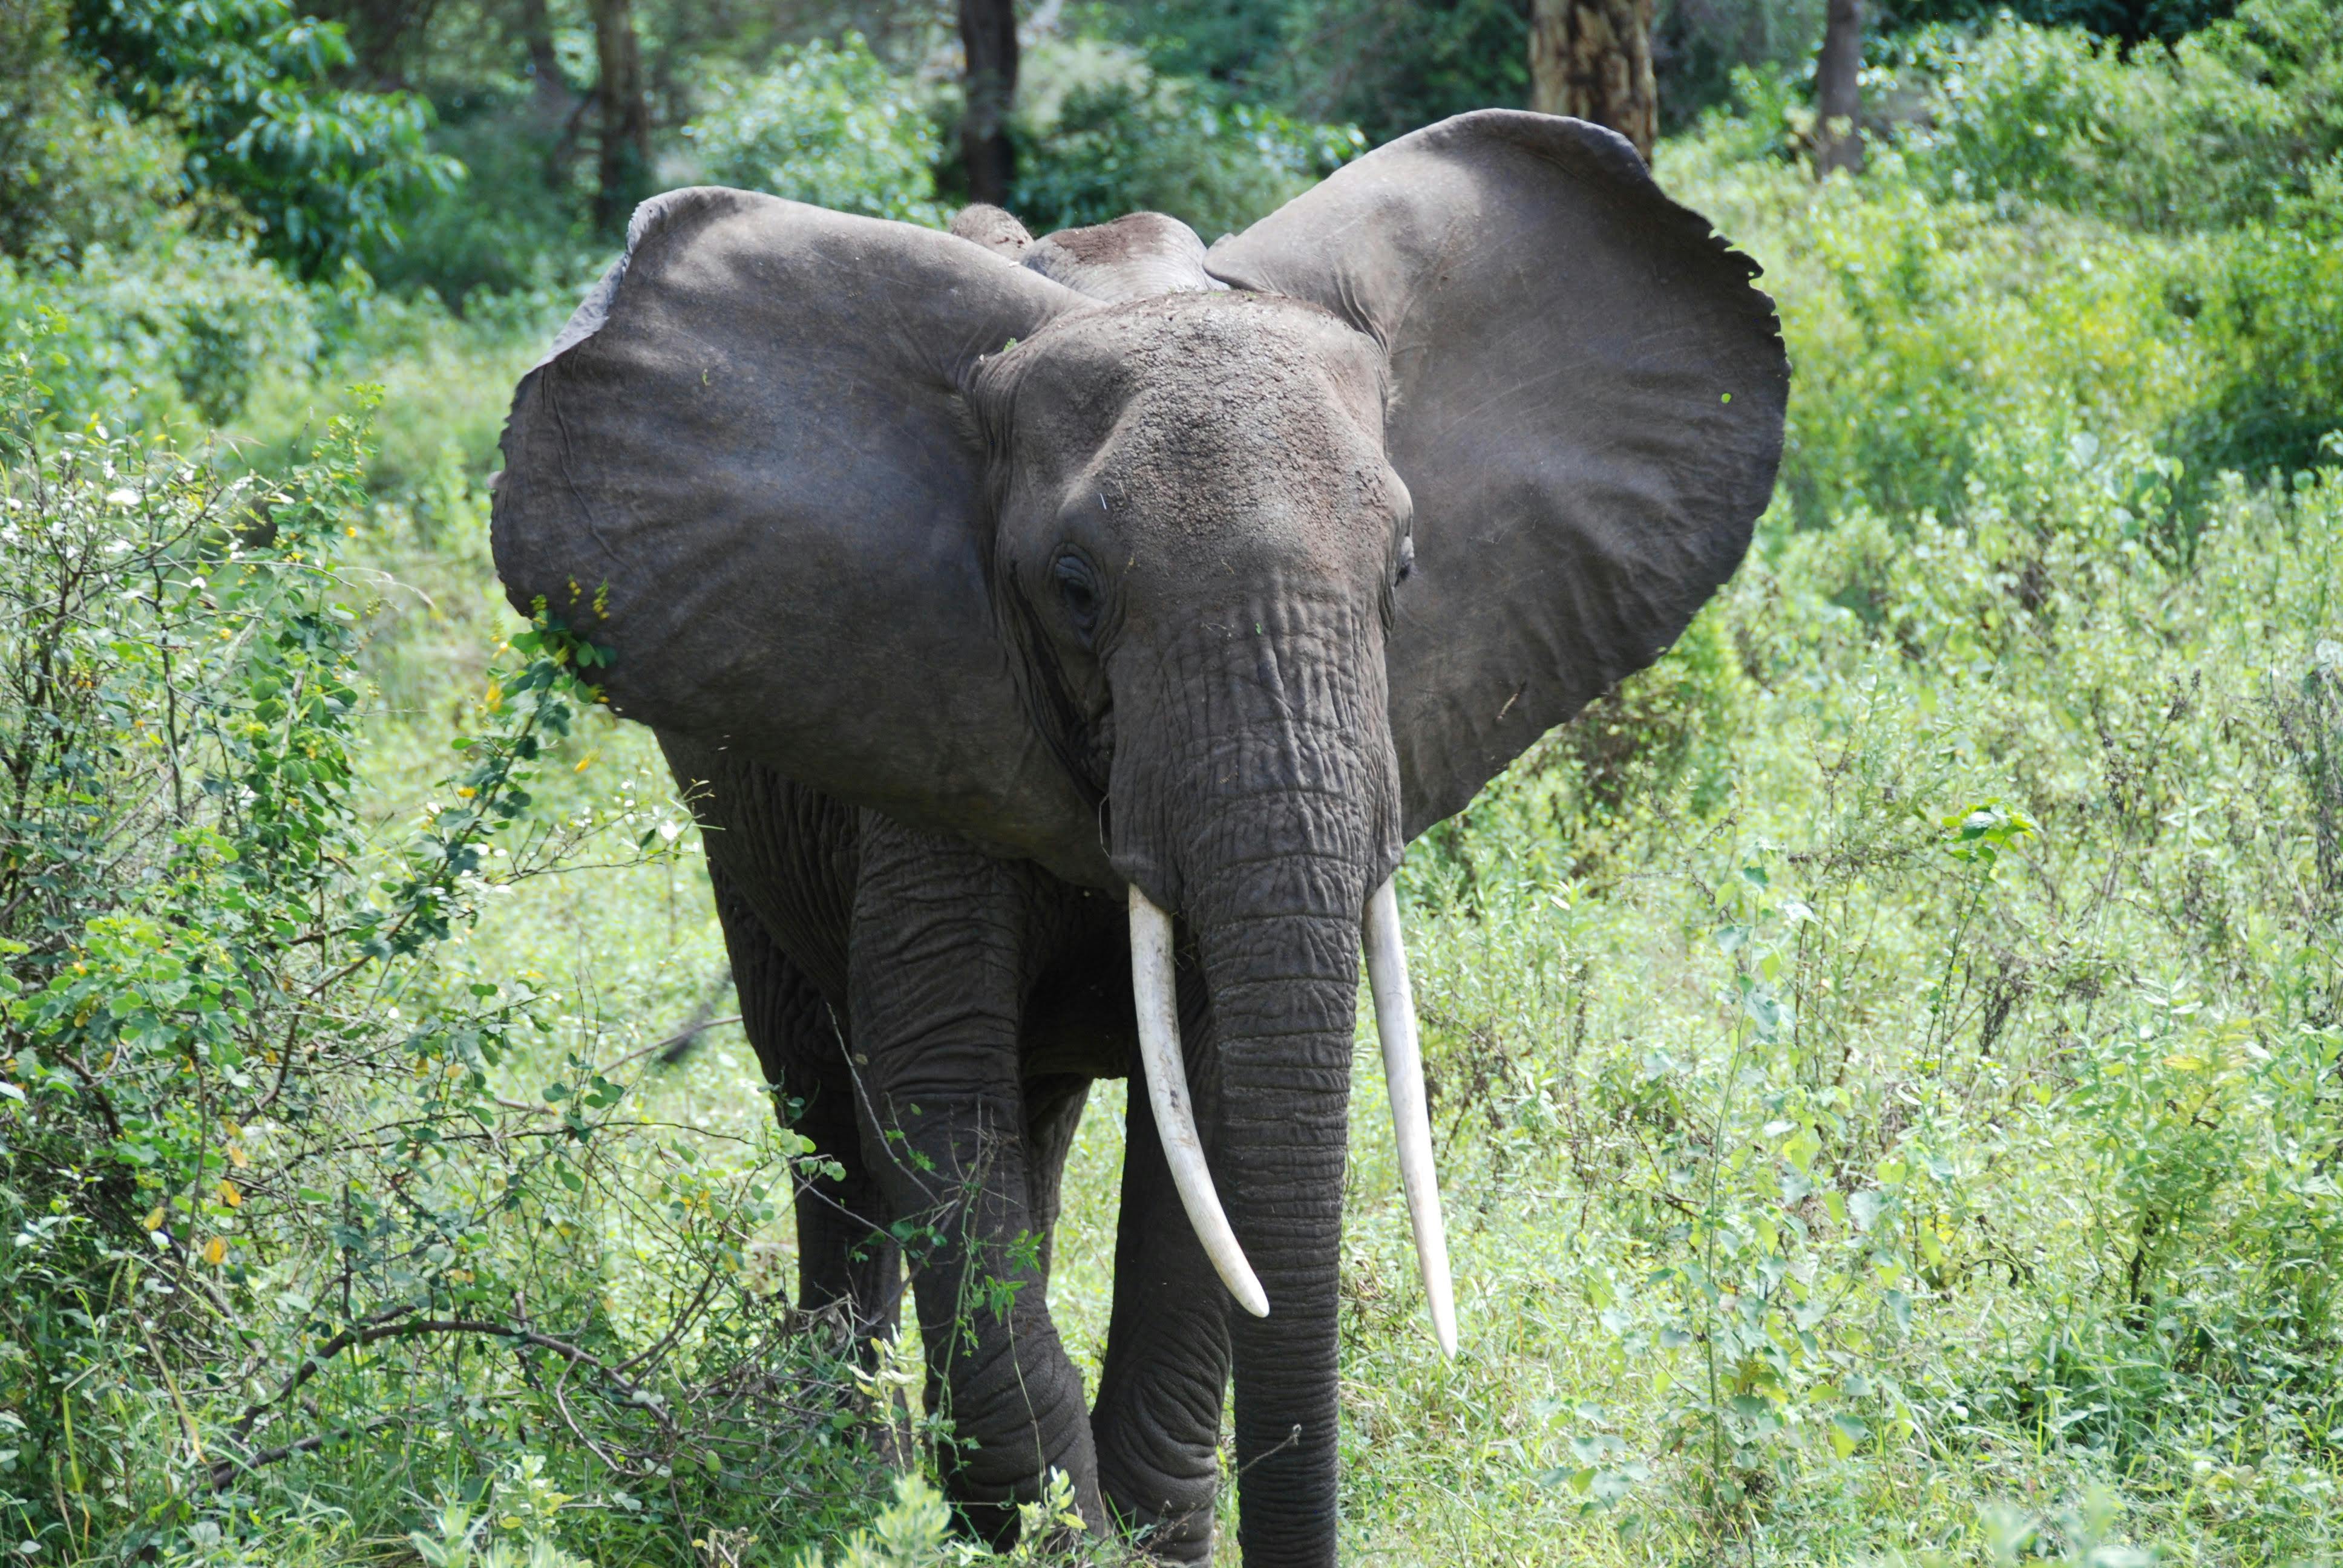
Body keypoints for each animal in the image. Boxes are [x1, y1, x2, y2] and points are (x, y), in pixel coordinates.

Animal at [490, 103, 1771, 1556]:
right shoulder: (921, 715)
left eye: (1400, 570)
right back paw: (836, 1461)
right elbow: (937, 1088)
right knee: (821, 1101)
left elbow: (1204, 1121)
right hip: (734, 813)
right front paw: (1046, 1529)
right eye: (1074, 589)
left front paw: (1136, 1530)